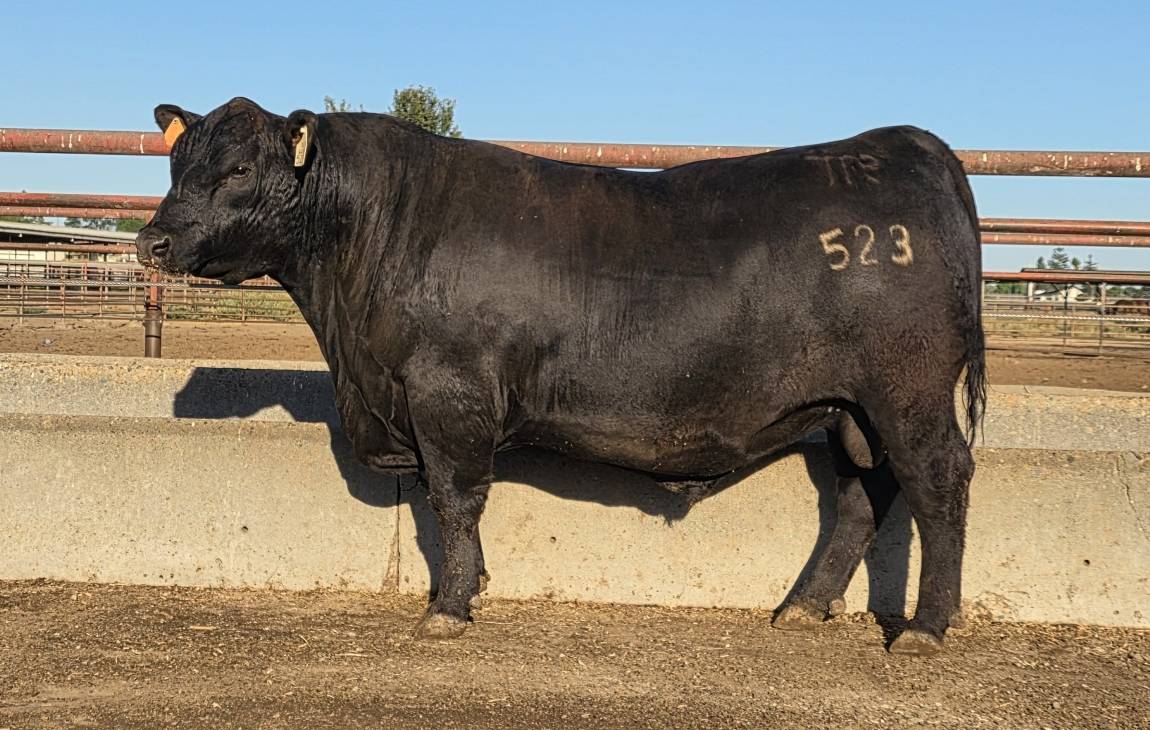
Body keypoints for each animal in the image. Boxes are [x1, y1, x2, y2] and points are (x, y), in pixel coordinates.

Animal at [136, 97, 986, 656]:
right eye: (177, 162)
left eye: (239, 168)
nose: (152, 242)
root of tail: (901, 144)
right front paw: (469, 590)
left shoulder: (447, 394)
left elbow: (454, 501)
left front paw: (449, 606)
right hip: (853, 409)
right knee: (863, 493)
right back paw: (805, 606)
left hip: (907, 393)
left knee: (938, 481)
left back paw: (925, 628)